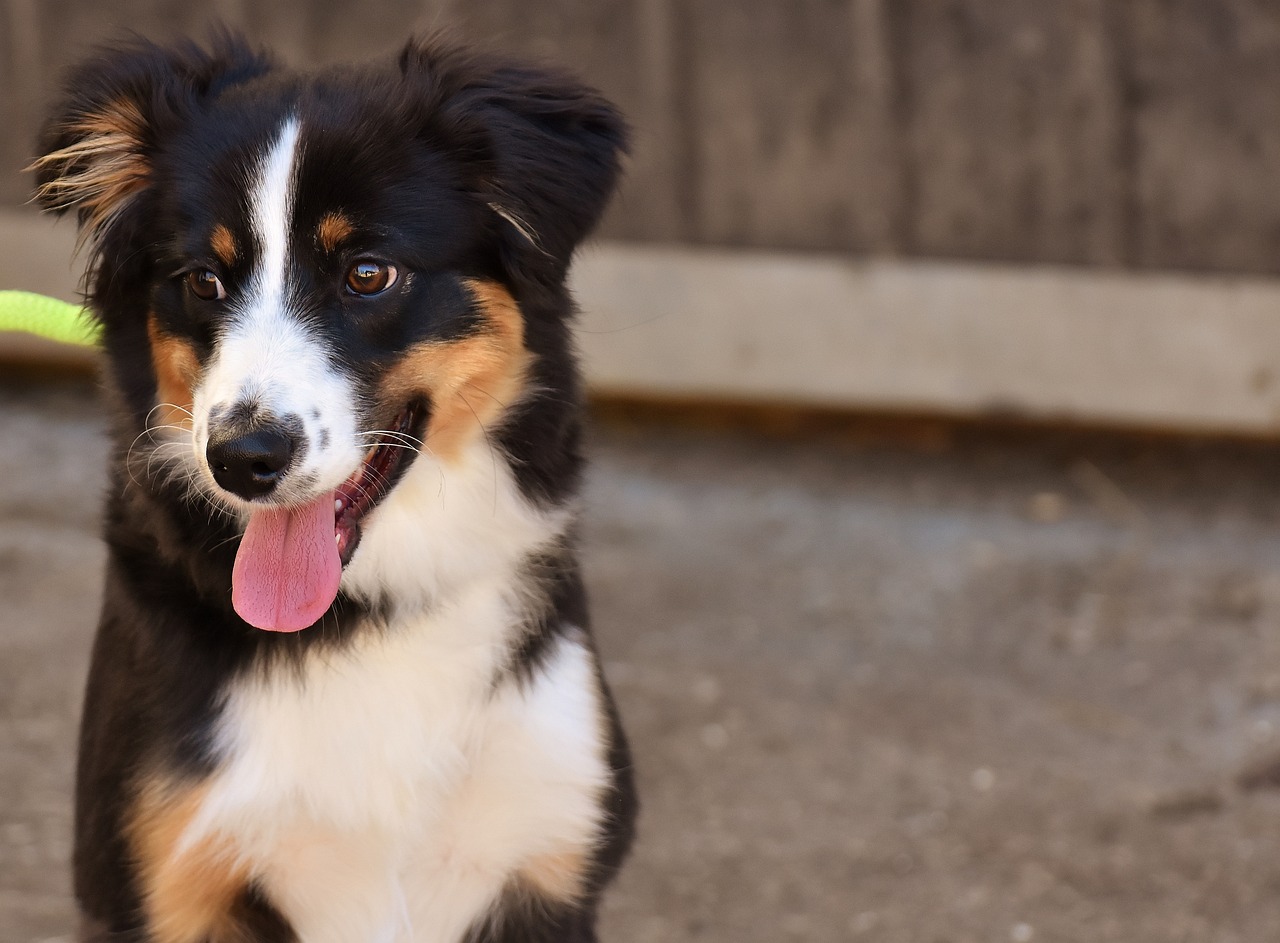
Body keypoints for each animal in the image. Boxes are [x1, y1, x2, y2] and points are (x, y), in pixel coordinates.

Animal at [37, 29, 637, 941]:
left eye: (367, 273)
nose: (243, 457)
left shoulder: (543, 855)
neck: (367, 616)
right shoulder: (159, 878)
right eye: (203, 280)